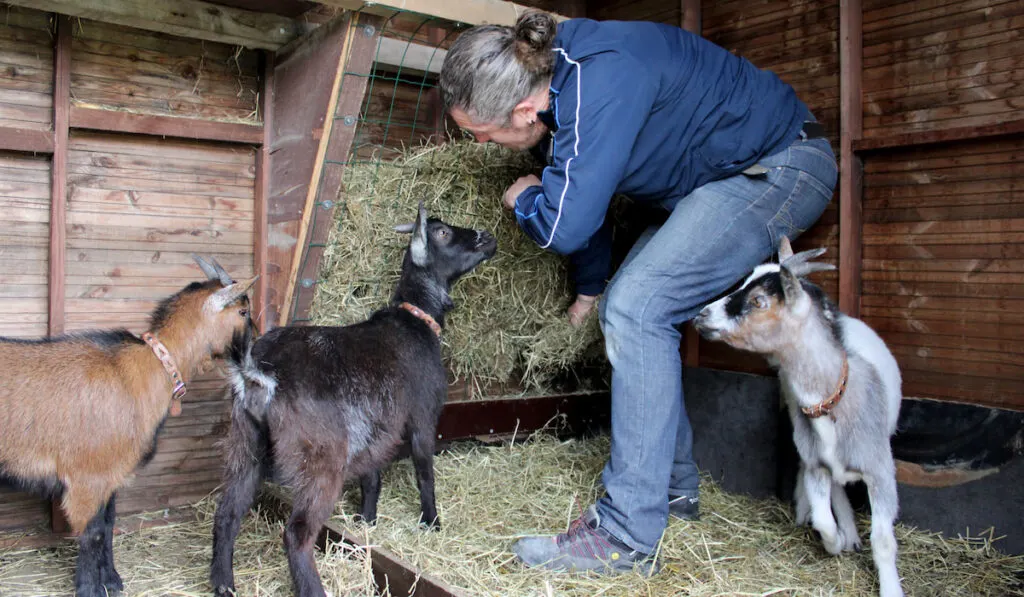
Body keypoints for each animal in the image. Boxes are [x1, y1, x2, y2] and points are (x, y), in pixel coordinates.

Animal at [0, 257, 256, 597]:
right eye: (243, 312)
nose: (256, 343)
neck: (151, 369)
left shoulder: (111, 474)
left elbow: (108, 525)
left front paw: (111, 580)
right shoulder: (87, 478)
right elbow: (92, 533)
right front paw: (90, 589)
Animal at [208, 202, 495, 593]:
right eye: (442, 233)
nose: (488, 237)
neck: (415, 319)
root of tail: (258, 373)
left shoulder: (377, 424)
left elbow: (372, 476)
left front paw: (367, 520)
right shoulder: (422, 415)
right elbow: (424, 469)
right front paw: (431, 522)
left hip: (245, 443)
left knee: (227, 513)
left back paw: (223, 583)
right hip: (321, 457)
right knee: (296, 532)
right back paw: (313, 589)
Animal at [692, 237, 901, 597]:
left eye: (758, 301)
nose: (703, 314)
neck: (831, 402)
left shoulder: (880, 470)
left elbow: (884, 540)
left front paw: (891, 588)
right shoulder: (817, 462)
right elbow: (824, 518)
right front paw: (835, 540)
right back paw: (837, 527)